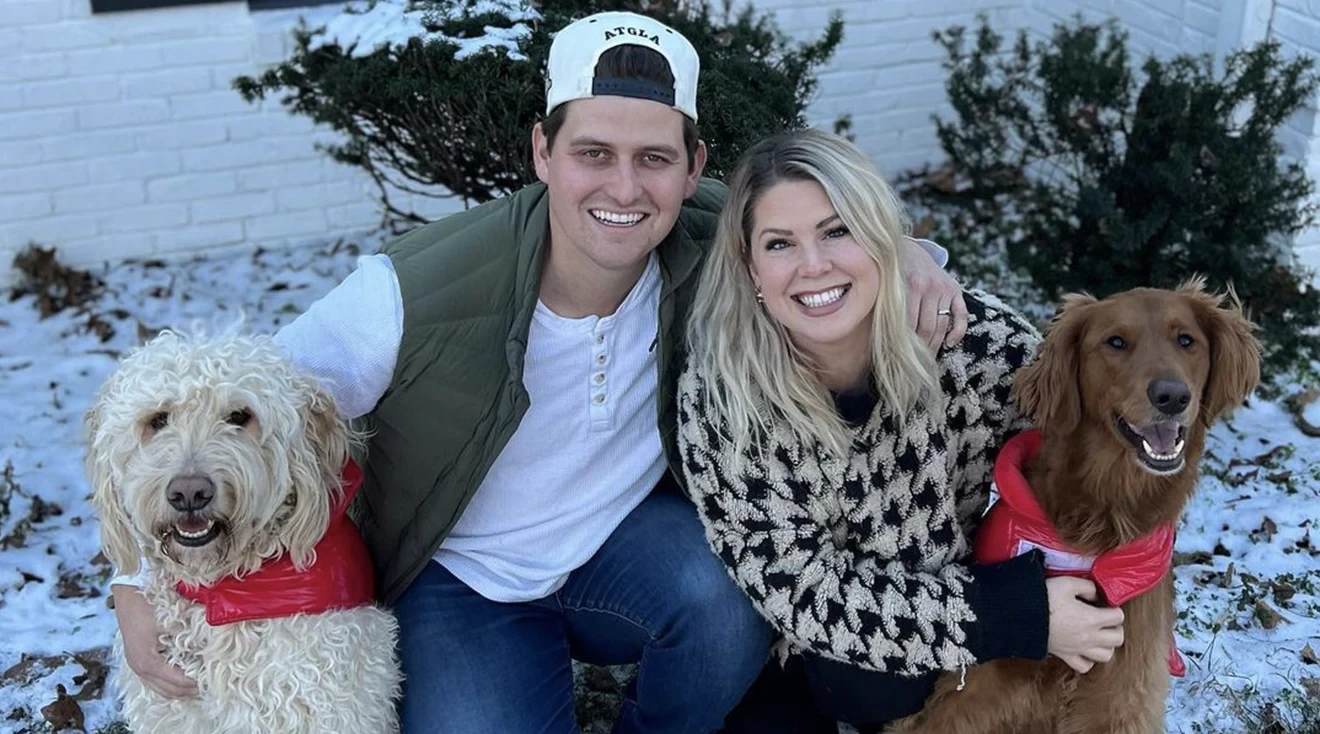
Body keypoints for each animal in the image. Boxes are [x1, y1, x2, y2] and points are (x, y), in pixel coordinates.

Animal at [887, 278, 1256, 728]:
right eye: (1116, 342)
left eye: (1186, 340)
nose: (1171, 396)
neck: (1098, 523)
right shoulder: (975, 692)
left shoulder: (1122, 695)